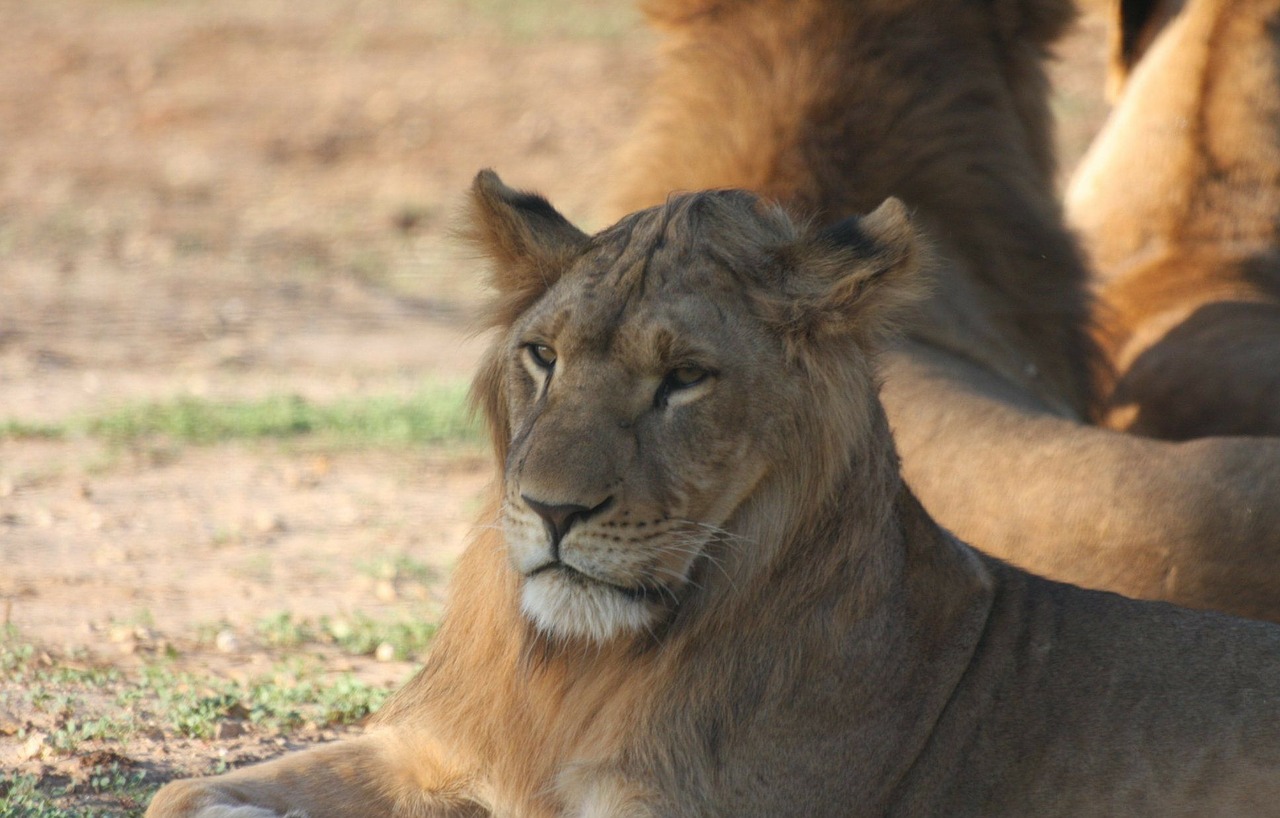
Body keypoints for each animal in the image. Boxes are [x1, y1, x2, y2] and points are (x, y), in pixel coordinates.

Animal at [145, 168, 1280, 814]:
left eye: (683, 378)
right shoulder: (433, 748)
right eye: (542, 356)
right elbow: (180, 795)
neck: (572, 668)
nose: (553, 510)